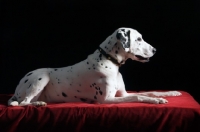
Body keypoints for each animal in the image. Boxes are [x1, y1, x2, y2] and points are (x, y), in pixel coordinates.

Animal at [7, 27, 181, 106]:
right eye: (138, 39)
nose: (155, 50)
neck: (109, 62)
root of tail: (16, 90)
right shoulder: (107, 100)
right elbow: (138, 96)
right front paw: (157, 100)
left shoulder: (123, 94)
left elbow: (150, 91)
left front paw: (170, 93)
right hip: (41, 76)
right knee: (23, 103)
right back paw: (38, 104)